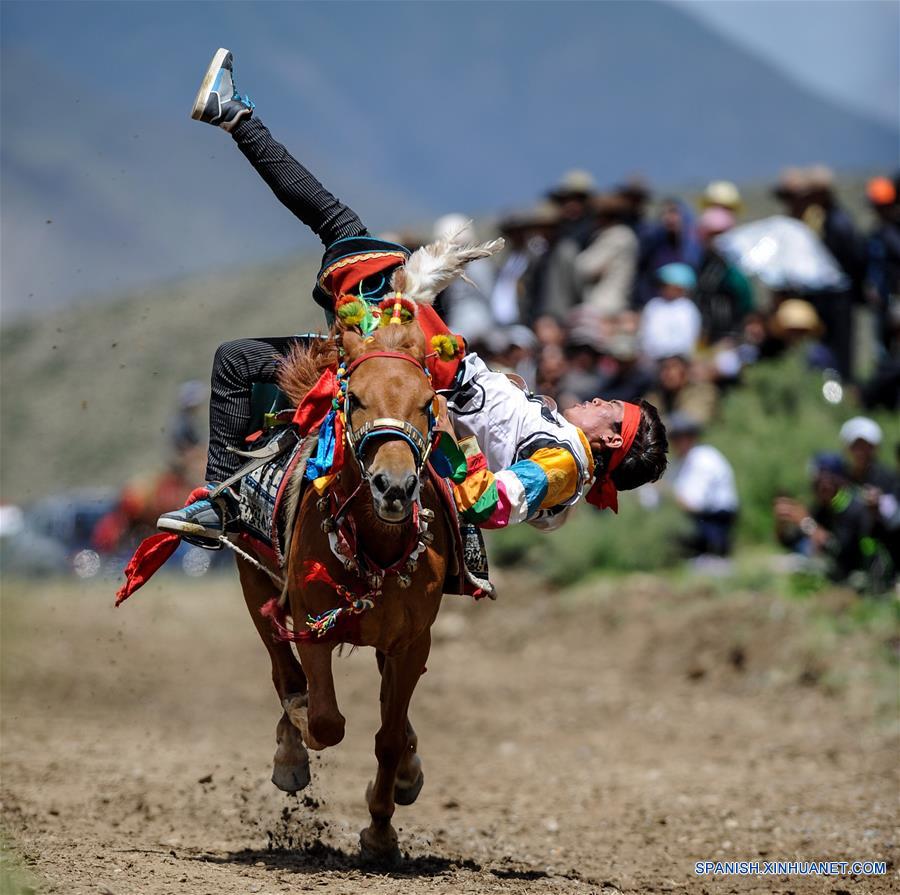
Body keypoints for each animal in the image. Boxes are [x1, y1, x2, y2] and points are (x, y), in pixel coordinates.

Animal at [237, 318, 450, 864]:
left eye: (427, 402)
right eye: (355, 399)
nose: (394, 486)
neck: (373, 543)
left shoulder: (412, 642)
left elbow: (389, 737)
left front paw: (381, 833)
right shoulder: (313, 627)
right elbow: (326, 721)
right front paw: (298, 729)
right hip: (253, 578)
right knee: (281, 668)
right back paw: (290, 748)